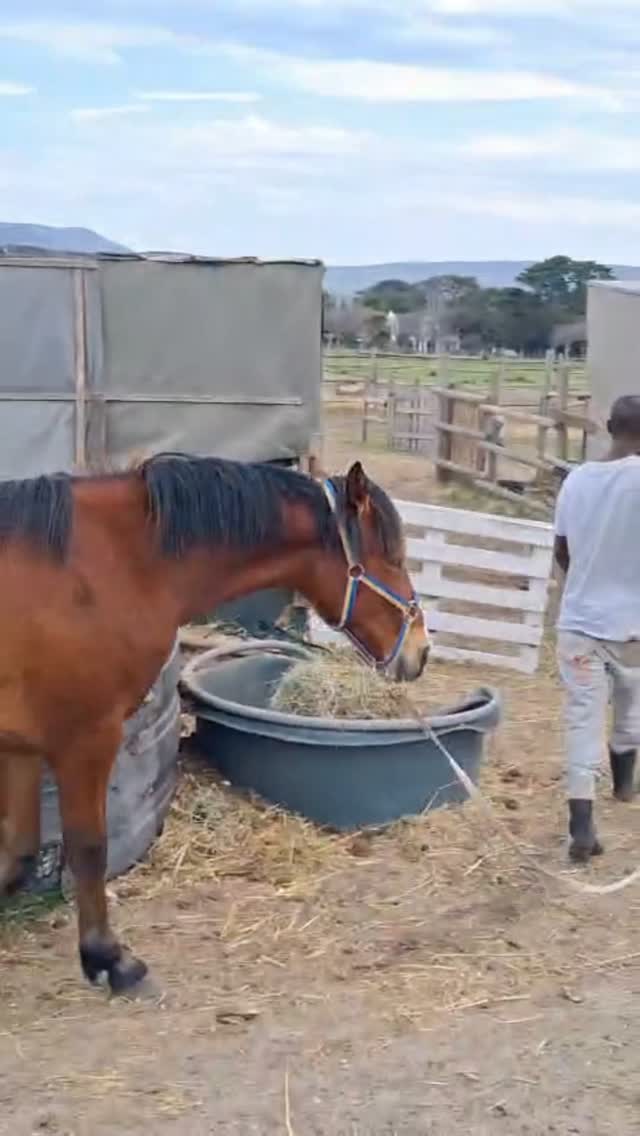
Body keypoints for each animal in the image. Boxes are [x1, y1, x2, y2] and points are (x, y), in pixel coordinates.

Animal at [0, 455, 429, 994]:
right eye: (391, 555)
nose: (421, 650)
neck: (108, 564)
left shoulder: (22, 743)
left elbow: (17, 849)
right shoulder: (86, 738)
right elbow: (89, 847)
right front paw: (107, 958)